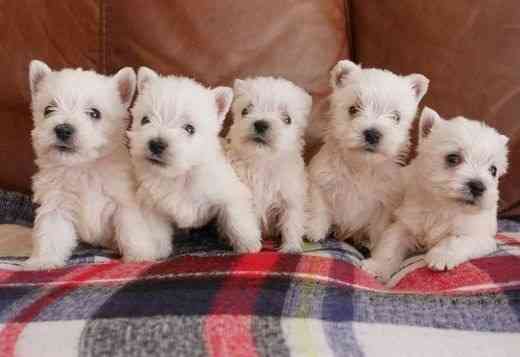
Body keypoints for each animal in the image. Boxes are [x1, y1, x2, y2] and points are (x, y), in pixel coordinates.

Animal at [24, 59, 162, 268]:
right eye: (48, 110)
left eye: (94, 113)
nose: (63, 129)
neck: (84, 167)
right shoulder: (56, 205)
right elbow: (51, 234)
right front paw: (43, 261)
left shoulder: (124, 204)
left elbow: (132, 231)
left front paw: (140, 255)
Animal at [128, 67, 262, 253]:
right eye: (145, 120)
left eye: (189, 129)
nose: (156, 144)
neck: (180, 175)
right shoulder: (153, 208)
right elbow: (158, 233)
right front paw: (159, 251)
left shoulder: (230, 194)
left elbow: (237, 219)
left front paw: (249, 245)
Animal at [224, 77, 312, 252]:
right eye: (245, 110)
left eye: (287, 119)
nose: (261, 124)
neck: (262, 162)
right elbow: (243, 221)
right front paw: (249, 244)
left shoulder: (291, 199)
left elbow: (291, 224)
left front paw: (291, 248)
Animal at [306, 60, 428, 250]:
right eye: (353, 109)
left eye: (396, 117)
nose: (372, 134)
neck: (361, 166)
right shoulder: (320, 180)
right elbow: (319, 206)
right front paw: (314, 231)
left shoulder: (384, 203)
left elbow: (379, 228)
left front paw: (376, 246)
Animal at [364, 105, 510, 280]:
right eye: (453, 158)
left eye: (493, 170)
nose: (478, 186)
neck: (443, 206)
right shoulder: (404, 224)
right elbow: (390, 246)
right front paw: (376, 267)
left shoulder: (479, 236)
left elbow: (455, 240)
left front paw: (442, 257)